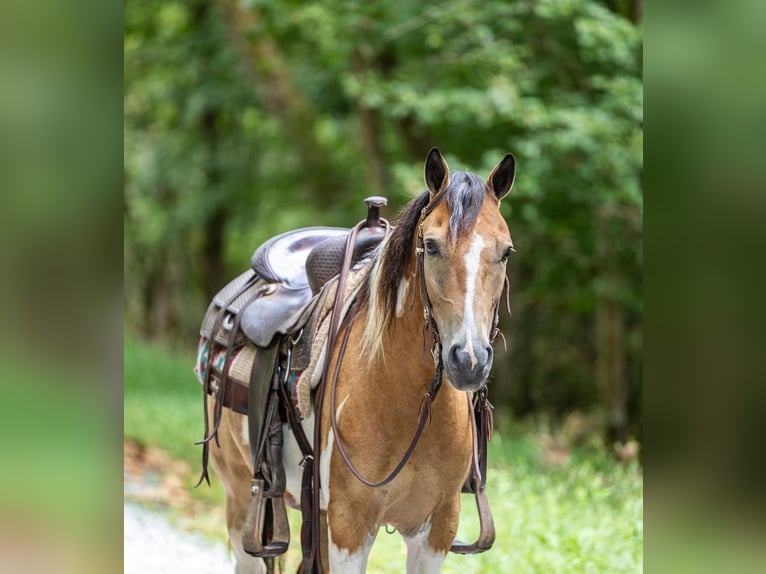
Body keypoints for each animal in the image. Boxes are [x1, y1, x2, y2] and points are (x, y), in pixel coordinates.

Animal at [205, 147, 516, 573]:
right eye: (432, 245)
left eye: (505, 251)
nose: (468, 360)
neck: (407, 400)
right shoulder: (350, 526)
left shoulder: (437, 530)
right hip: (240, 496)